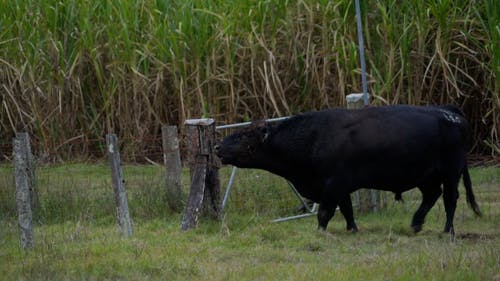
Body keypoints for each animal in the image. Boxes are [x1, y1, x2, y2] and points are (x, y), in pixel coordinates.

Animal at [215, 105, 480, 232]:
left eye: (243, 136)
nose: (217, 146)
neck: (313, 138)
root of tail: (450, 112)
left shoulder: (334, 183)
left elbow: (325, 212)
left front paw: (320, 231)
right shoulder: (338, 187)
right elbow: (347, 210)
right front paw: (352, 229)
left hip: (450, 172)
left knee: (450, 199)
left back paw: (447, 229)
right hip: (426, 176)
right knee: (432, 196)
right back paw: (416, 223)